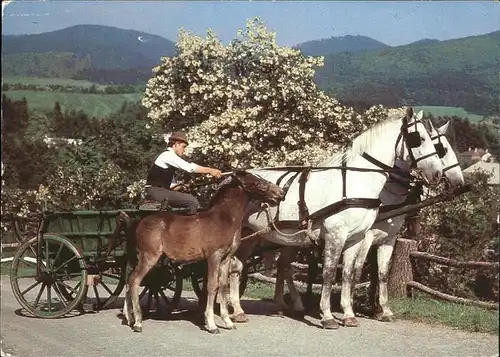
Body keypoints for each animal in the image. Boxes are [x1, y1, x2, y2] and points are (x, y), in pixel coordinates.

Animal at [122, 170, 284, 330]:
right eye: (256, 183)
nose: (280, 193)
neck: (224, 219)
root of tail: (138, 222)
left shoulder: (226, 258)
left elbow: (223, 287)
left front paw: (228, 322)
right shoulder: (214, 256)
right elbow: (212, 286)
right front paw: (211, 324)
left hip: (141, 257)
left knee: (129, 279)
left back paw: (128, 318)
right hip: (149, 256)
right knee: (134, 281)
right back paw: (137, 322)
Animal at [229, 108, 444, 328]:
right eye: (419, 138)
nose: (438, 173)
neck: (355, 182)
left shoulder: (356, 239)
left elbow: (348, 273)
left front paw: (349, 314)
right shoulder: (335, 235)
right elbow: (330, 273)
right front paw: (328, 316)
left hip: (253, 235)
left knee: (239, 266)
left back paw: (240, 310)